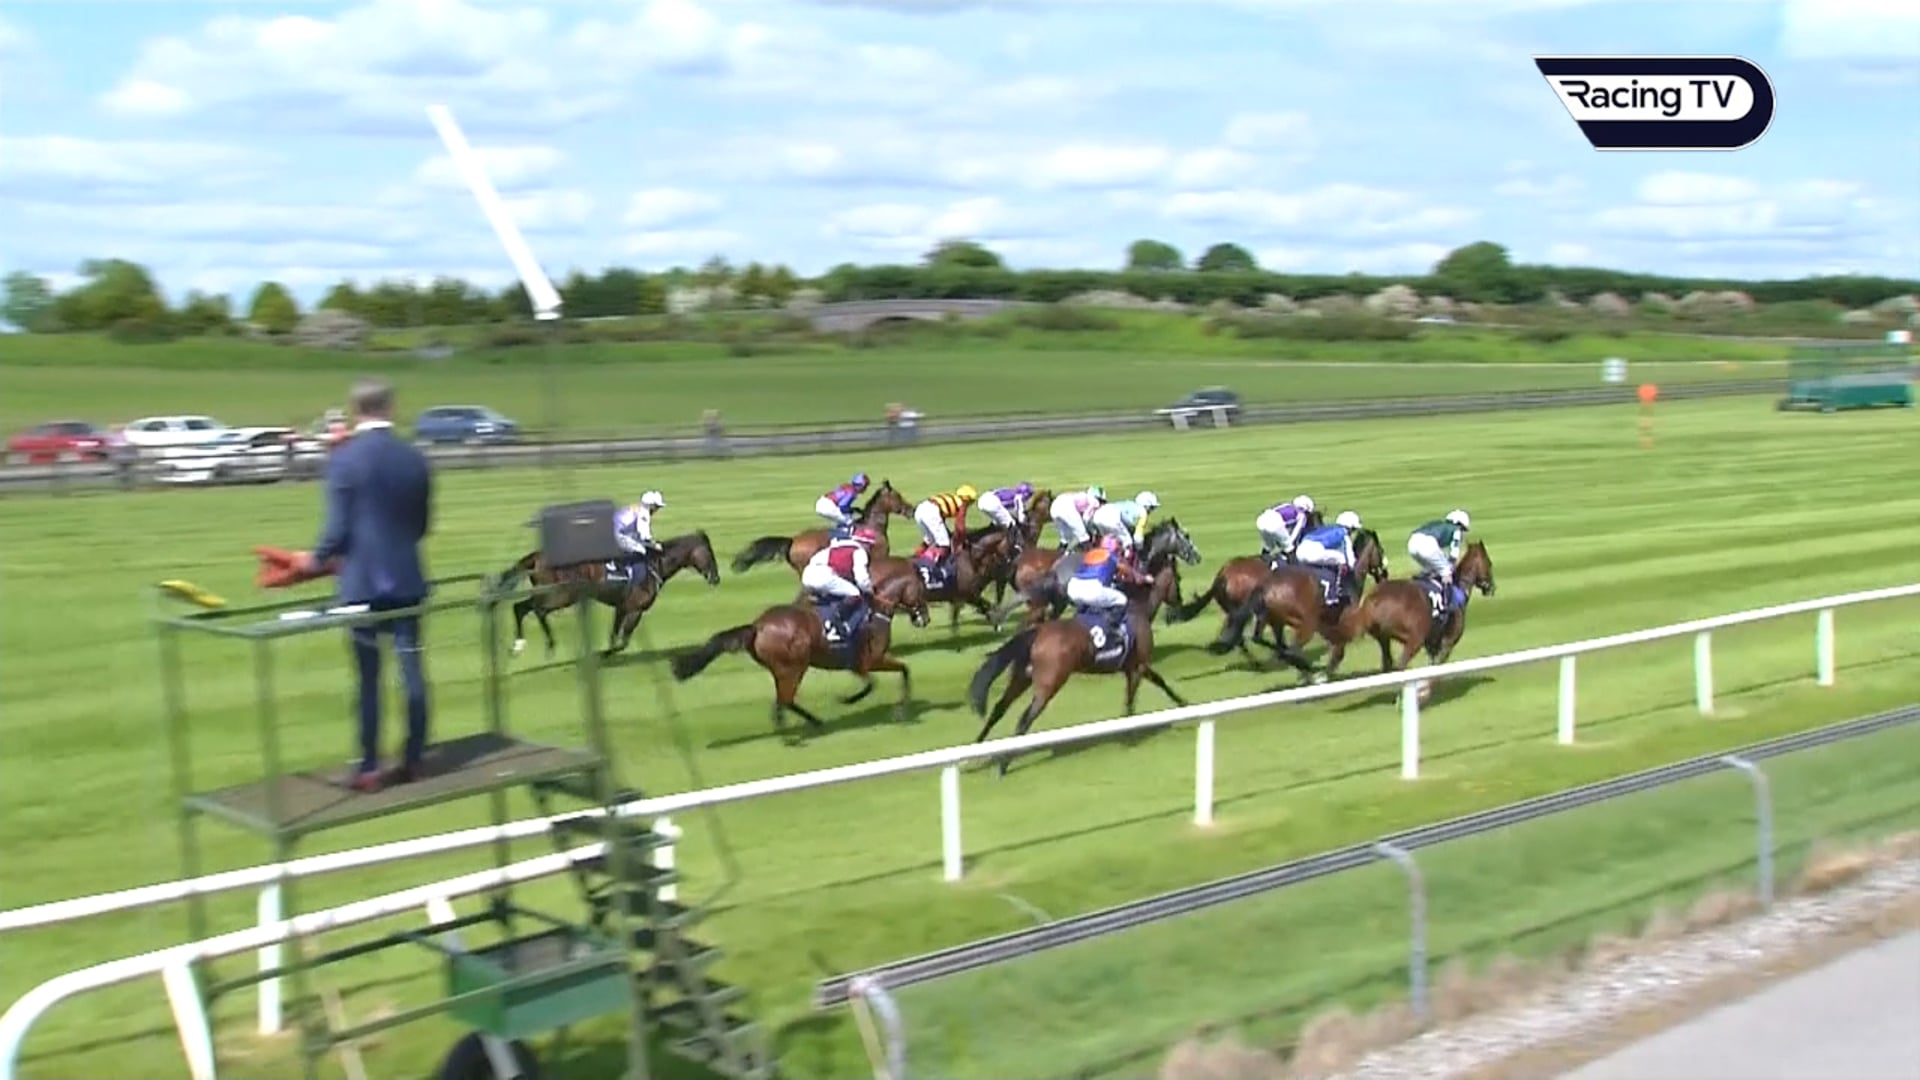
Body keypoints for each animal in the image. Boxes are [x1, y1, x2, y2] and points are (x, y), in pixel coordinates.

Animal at [498, 530, 722, 659]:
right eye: (710, 554)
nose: (716, 578)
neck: (655, 563)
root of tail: (537, 557)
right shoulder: (635, 609)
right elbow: (622, 641)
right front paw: (603, 654)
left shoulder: (622, 608)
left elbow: (616, 636)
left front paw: (605, 652)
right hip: (561, 595)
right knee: (538, 610)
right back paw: (550, 645)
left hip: (549, 592)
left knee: (520, 607)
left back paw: (517, 646)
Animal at [670, 556, 931, 738]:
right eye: (921, 590)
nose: (924, 619)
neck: (875, 609)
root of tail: (757, 626)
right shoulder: (871, 659)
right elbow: (894, 674)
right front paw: (891, 709)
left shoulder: (858, 664)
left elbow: (881, 678)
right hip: (793, 667)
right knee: (785, 700)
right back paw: (803, 727)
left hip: (783, 669)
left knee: (784, 700)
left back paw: (805, 723)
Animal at [966, 530, 1196, 777]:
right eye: (1178, 579)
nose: (1179, 604)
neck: (1137, 606)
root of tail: (1036, 634)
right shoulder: (1138, 667)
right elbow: (1132, 700)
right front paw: (1129, 734)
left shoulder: (1133, 666)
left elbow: (1159, 682)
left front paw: (1183, 703)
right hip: (1049, 683)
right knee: (1024, 719)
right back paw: (1002, 765)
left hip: (1022, 676)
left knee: (999, 708)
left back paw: (975, 751)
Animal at [1202, 528, 1390, 682]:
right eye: (1380, 551)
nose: (1385, 573)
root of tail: (1223, 574)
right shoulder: (1341, 619)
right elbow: (1339, 649)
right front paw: (1325, 673)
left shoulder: (1328, 622)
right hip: (1304, 623)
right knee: (1288, 649)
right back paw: (1306, 670)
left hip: (1267, 617)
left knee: (1255, 638)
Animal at [1338, 540, 1496, 702]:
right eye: (1489, 563)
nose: (1491, 587)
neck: (1458, 587)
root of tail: (1372, 599)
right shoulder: (1447, 642)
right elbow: (1436, 669)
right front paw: (1423, 692)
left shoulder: (1432, 644)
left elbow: (1431, 665)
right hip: (1415, 638)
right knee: (1400, 664)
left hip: (1384, 637)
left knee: (1389, 665)